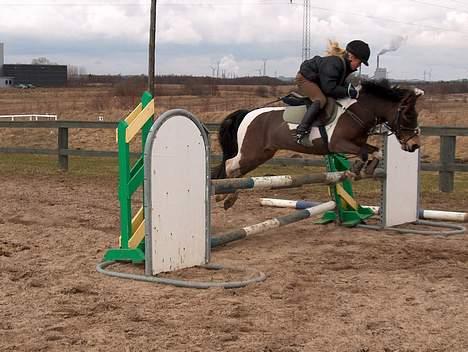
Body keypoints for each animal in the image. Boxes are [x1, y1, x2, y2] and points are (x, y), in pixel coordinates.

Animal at [212, 80, 424, 209]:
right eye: (408, 115)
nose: (414, 145)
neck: (358, 111)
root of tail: (248, 112)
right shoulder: (339, 143)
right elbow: (364, 153)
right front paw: (355, 170)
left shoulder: (358, 142)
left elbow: (376, 152)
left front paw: (367, 170)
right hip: (252, 152)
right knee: (230, 165)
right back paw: (225, 197)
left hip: (263, 154)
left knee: (237, 169)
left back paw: (226, 196)